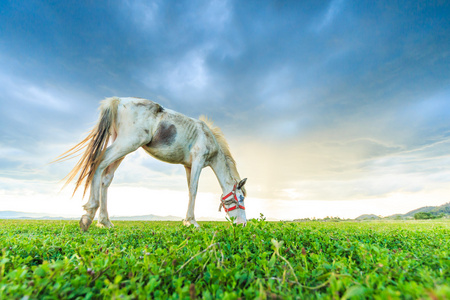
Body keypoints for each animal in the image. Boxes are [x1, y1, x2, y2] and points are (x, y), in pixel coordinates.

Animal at [55, 97, 250, 231]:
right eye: (239, 198)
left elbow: (189, 189)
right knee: (99, 162)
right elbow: (194, 190)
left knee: (106, 177)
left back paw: (105, 221)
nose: (243, 224)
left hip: (122, 147)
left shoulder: (188, 166)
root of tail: (118, 101)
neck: (208, 136)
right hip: (127, 144)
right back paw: (89, 214)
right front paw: (192, 222)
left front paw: (187, 220)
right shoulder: (198, 160)